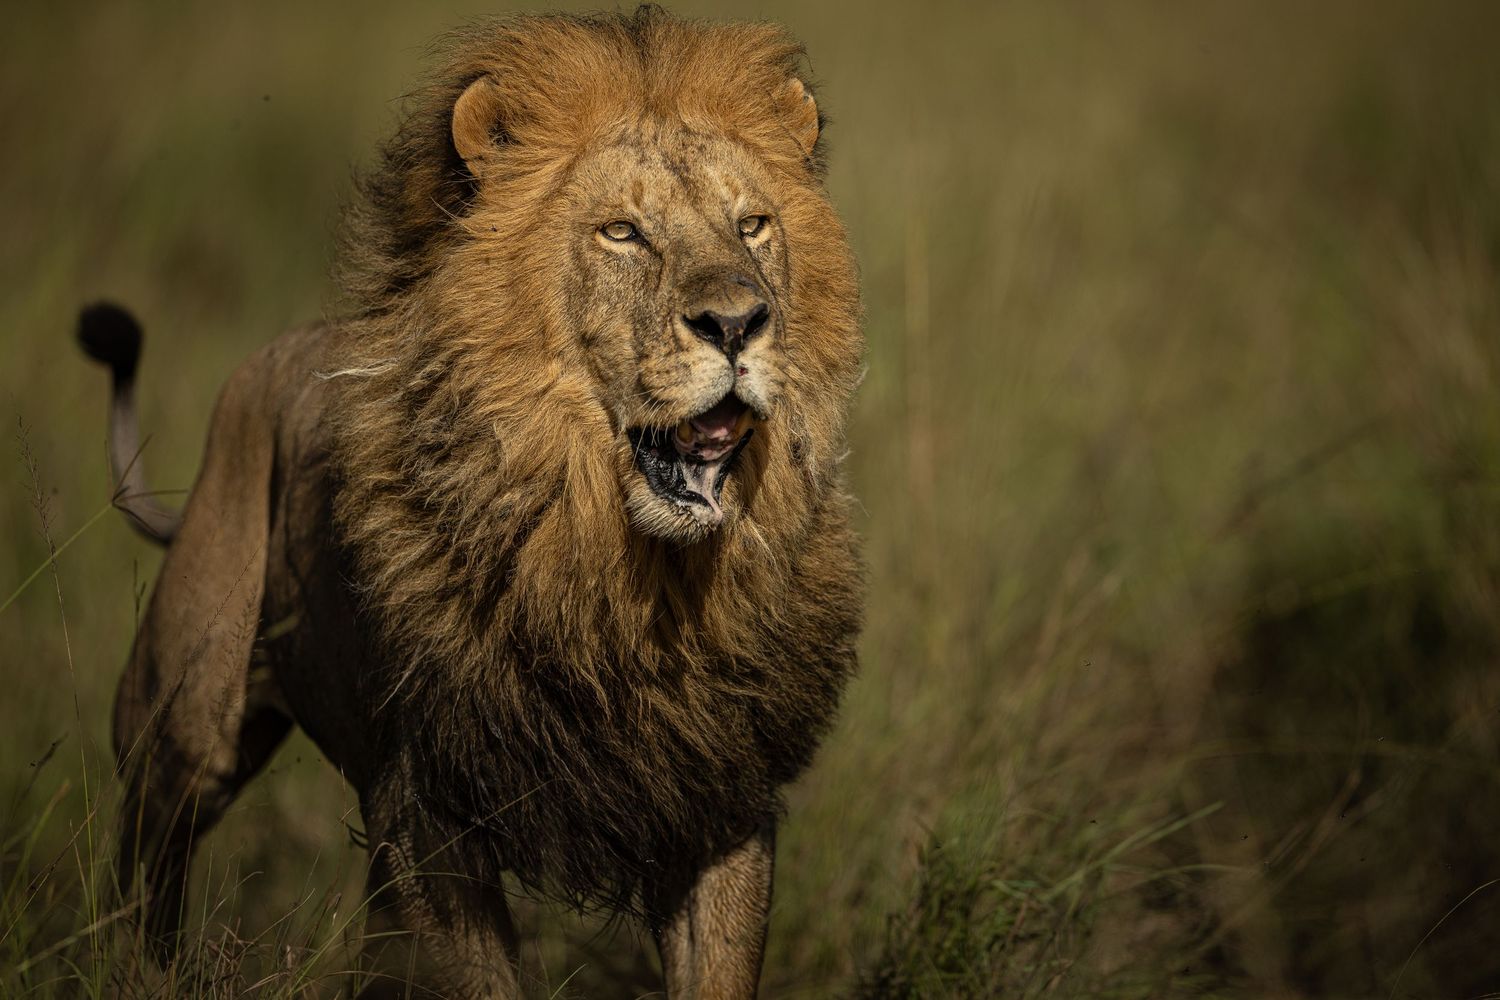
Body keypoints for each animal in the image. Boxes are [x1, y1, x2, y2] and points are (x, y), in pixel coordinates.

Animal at [79, 7, 862, 997]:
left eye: (753, 225)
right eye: (622, 233)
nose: (736, 323)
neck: (622, 571)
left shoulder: (718, 796)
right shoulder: (429, 816)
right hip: (180, 726)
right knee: (144, 870)